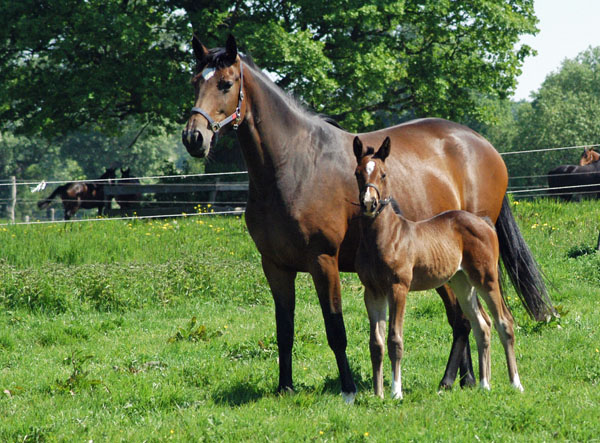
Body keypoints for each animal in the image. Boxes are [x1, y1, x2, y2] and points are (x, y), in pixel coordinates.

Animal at [354, 137, 524, 400]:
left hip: (486, 279)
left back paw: (516, 383)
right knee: (481, 325)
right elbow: (376, 343)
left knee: (504, 321)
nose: (369, 203)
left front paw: (396, 392)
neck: (385, 237)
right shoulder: (372, 292)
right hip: (463, 282)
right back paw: (484, 384)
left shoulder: (398, 288)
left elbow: (394, 340)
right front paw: (377, 394)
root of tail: (484, 222)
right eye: (358, 173)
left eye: (383, 174)